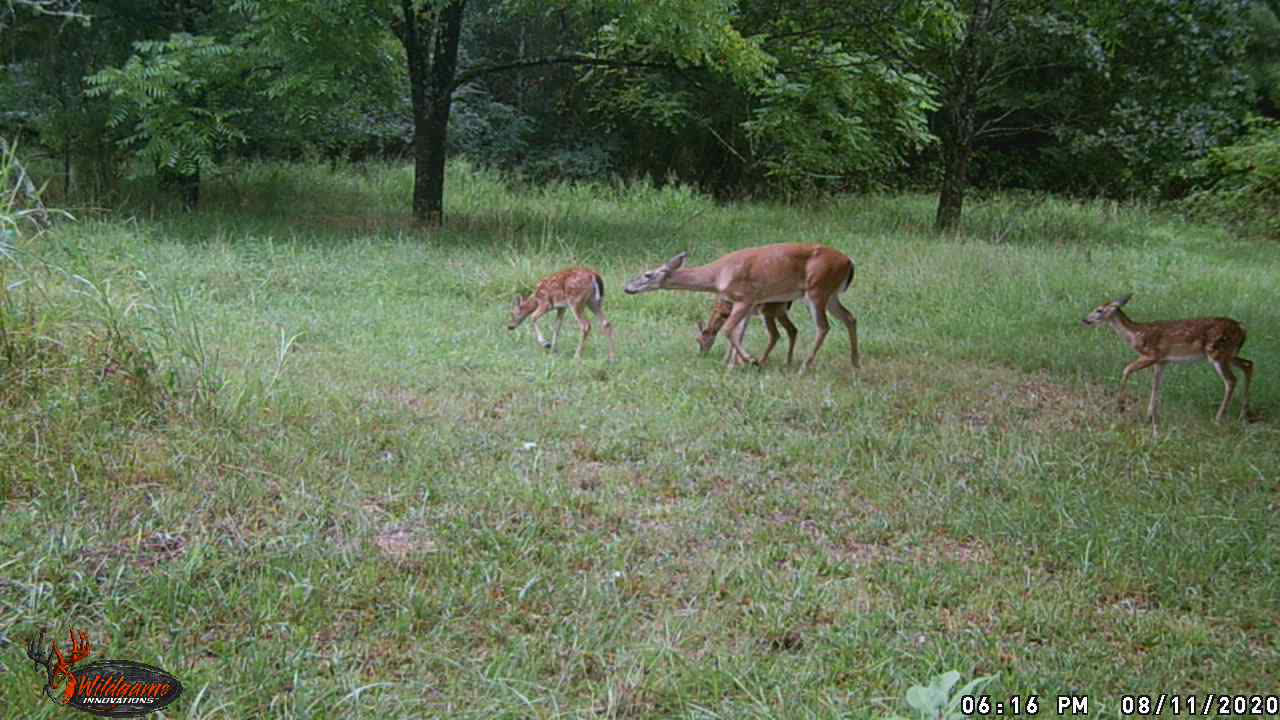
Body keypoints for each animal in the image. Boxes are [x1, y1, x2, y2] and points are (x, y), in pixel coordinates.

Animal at [624, 244, 855, 371]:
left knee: (823, 326)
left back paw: (804, 367)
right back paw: (856, 363)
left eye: (647, 274)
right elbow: (739, 332)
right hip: (830, 294)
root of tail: (849, 262)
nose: (627, 287)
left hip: (817, 289)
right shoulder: (746, 302)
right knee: (850, 317)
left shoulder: (745, 297)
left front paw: (750, 360)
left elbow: (728, 330)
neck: (717, 275)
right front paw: (732, 365)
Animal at [1085, 293, 1254, 427]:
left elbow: (1126, 369)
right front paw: (1149, 417)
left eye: (1099, 310)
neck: (1135, 335)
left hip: (1217, 352)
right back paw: (1244, 414)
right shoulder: (1162, 361)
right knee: (1249, 364)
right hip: (1229, 354)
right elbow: (1156, 385)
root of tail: (1243, 329)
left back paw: (1219, 418)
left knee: (1231, 380)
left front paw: (1120, 406)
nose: (1085, 320)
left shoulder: (1152, 355)